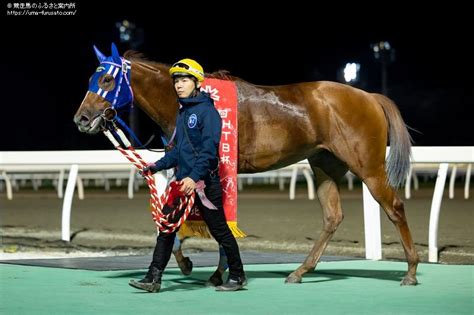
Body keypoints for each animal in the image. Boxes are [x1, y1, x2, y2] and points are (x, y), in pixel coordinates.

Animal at [73, 43, 418, 286]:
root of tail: (370, 97)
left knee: (395, 207)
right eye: (91, 77)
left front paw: (212, 270)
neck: (197, 101)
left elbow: (213, 221)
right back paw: (300, 271)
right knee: (333, 216)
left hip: (368, 167)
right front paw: (200, 266)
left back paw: (411, 271)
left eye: (107, 79)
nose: (82, 119)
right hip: (324, 165)